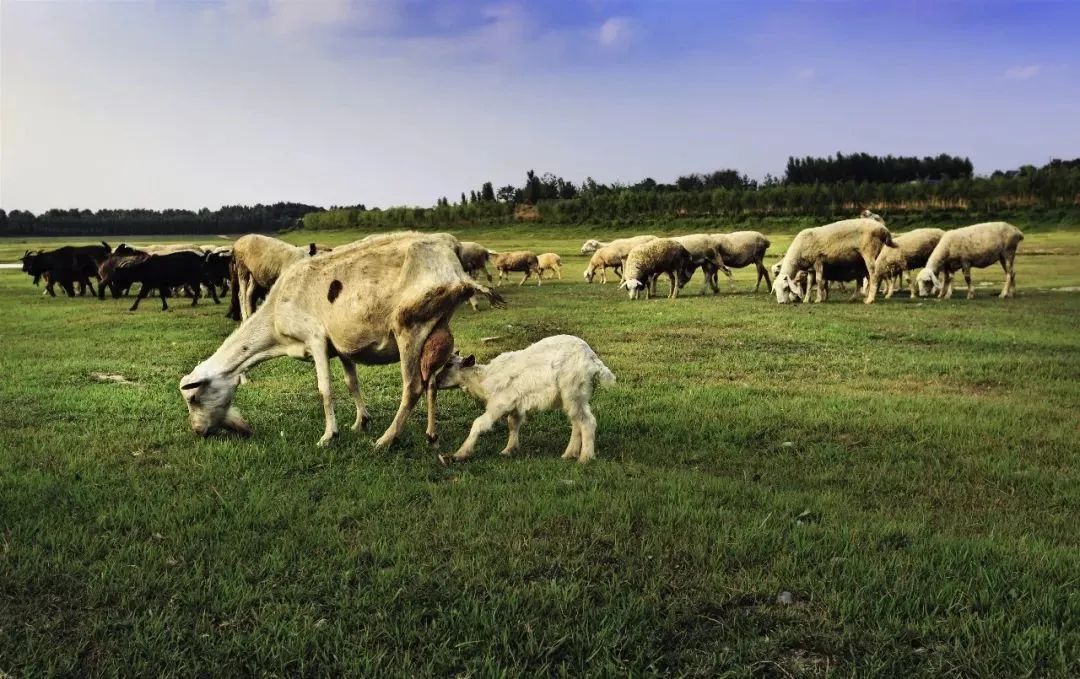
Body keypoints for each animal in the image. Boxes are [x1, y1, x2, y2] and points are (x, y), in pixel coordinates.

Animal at [181, 229, 505, 446]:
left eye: (194, 398)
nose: (198, 432)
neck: (274, 318)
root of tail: (450, 250)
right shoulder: (342, 347)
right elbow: (352, 382)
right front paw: (361, 421)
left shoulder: (315, 339)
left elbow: (325, 389)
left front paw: (329, 435)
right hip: (435, 327)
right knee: (432, 382)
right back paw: (431, 433)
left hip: (409, 327)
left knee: (413, 387)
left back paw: (386, 440)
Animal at [432, 334, 617, 464]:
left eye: (449, 365)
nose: (435, 382)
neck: (483, 379)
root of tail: (593, 358)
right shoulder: (515, 405)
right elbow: (513, 424)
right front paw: (508, 450)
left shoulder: (499, 404)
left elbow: (478, 423)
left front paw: (460, 454)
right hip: (575, 395)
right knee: (576, 422)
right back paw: (569, 454)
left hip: (573, 390)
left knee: (586, 422)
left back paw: (584, 458)